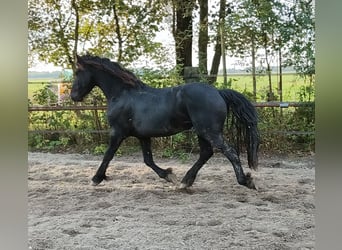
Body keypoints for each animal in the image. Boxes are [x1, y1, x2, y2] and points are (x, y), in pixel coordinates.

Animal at [71, 53, 260, 188]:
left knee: (230, 152)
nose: (73, 96)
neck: (123, 94)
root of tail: (218, 92)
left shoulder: (118, 132)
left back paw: (246, 181)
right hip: (202, 132)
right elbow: (148, 160)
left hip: (210, 131)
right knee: (206, 153)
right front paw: (168, 175)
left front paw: (96, 178)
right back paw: (185, 181)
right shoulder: (143, 136)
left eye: (77, 72)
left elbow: (108, 155)